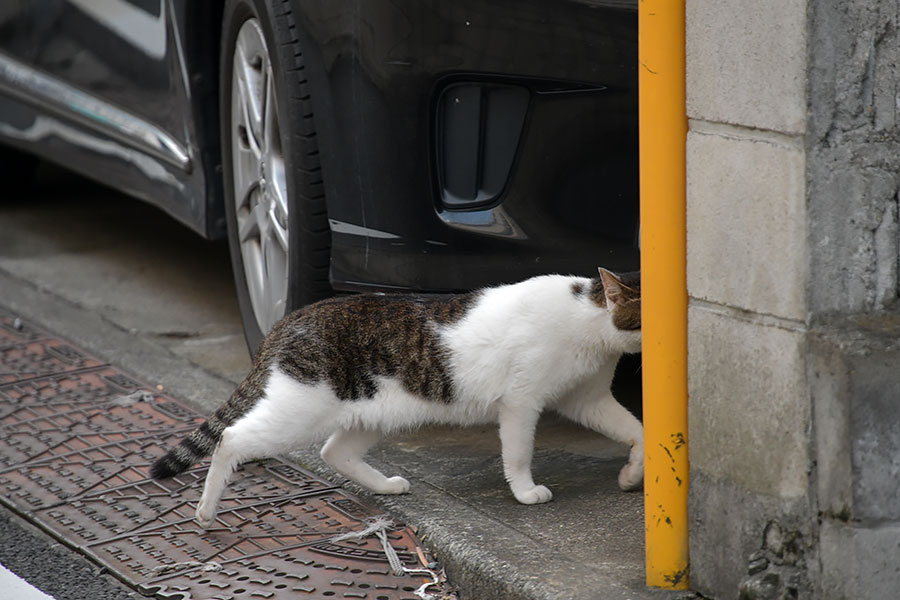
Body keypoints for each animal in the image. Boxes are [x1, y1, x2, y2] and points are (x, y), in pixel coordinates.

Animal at [153, 268, 648, 524]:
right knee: (231, 438)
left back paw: (385, 485)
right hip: (299, 411)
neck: (587, 320)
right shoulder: (521, 403)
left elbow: (639, 432)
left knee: (334, 451)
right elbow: (519, 453)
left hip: (373, 413)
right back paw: (206, 509)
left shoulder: (588, 399)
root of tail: (290, 318)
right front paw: (526, 492)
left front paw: (631, 476)